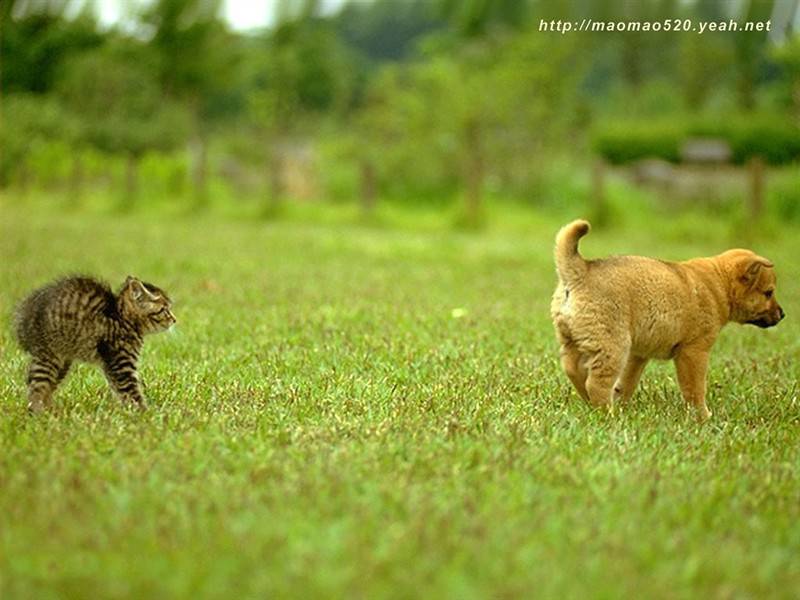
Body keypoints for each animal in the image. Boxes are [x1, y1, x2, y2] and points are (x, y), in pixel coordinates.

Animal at [13, 276, 177, 412]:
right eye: (165, 310)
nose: (174, 320)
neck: (123, 319)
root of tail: (23, 318)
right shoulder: (120, 364)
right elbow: (131, 393)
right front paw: (145, 414)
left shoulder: (112, 365)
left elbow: (120, 391)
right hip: (49, 356)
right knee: (36, 387)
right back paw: (39, 413)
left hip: (62, 362)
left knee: (44, 386)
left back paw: (51, 411)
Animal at [552, 218, 784, 420]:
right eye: (768, 293)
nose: (782, 315)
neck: (719, 284)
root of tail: (581, 271)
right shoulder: (694, 351)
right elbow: (695, 389)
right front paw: (703, 416)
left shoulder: (638, 354)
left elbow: (627, 382)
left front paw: (622, 403)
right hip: (613, 346)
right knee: (596, 383)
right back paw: (607, 415)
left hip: (573, 340)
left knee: (574, 370)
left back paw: (590, 403)